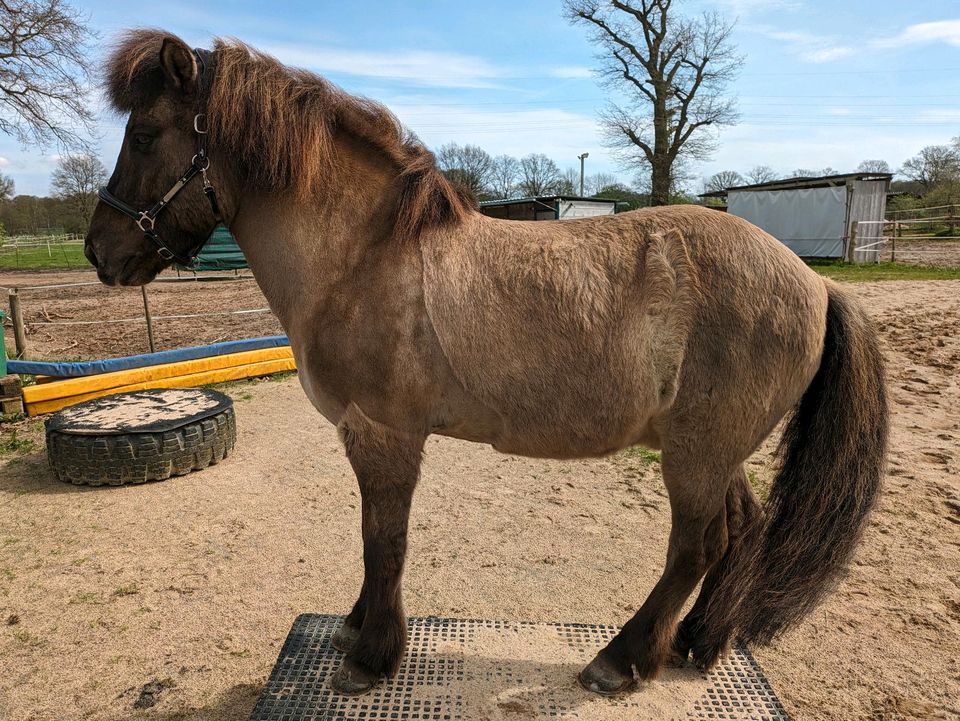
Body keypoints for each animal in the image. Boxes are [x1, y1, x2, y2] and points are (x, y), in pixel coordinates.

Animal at [86, 29, 888, 696]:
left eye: (145, 134)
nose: (99, 251)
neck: (362, 255)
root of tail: (814, 282)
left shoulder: (383, 433)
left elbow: (384, 540)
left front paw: (372, 656)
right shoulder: (369, 434)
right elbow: (375, 539)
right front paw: (357, 627)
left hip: (696, 453)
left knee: (698, 545)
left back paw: (623, 659)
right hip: (715, 450)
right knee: (741, 529)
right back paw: (699, 640)